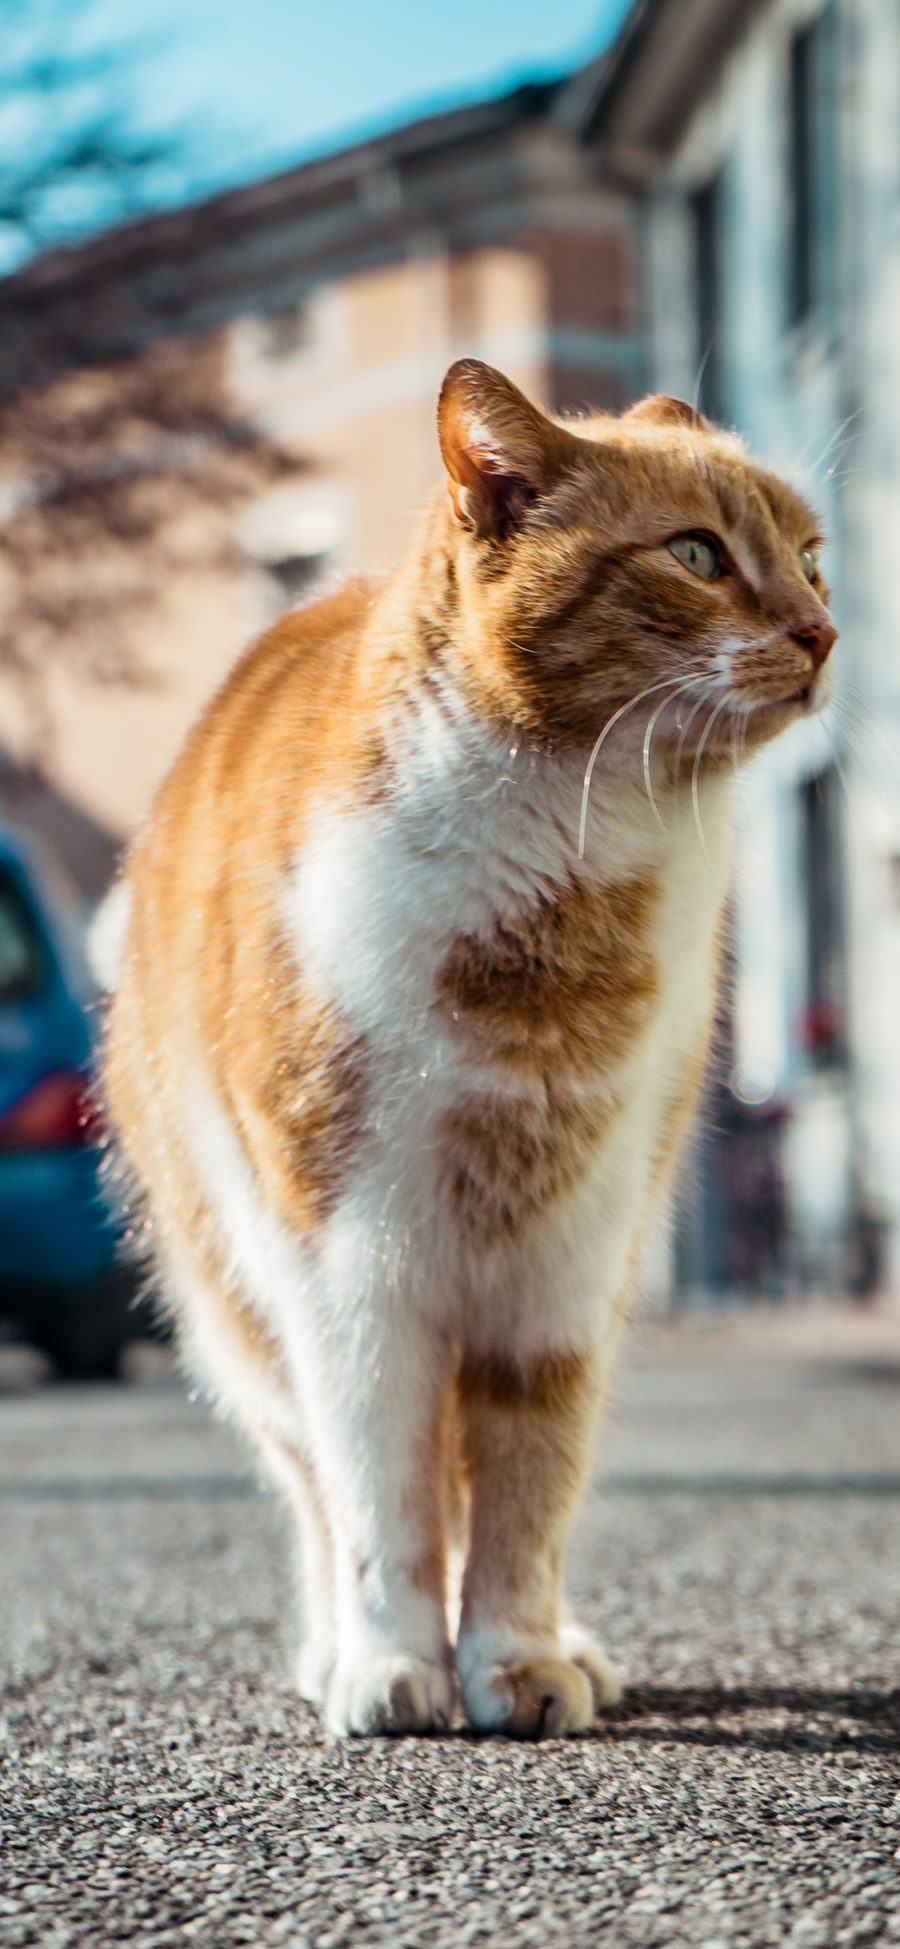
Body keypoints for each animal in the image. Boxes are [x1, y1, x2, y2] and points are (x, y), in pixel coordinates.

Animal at [103, 362, 837, 1738]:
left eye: (815, 559)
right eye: (698, 554)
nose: (825, 630)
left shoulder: (569, 1260)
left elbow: (527, 1480)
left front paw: (518, 1661)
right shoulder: (348, 1268)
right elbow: (380, 1492)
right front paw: (396, 1665)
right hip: (240, 1302)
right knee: (318, 1483)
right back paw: (336, 1649)